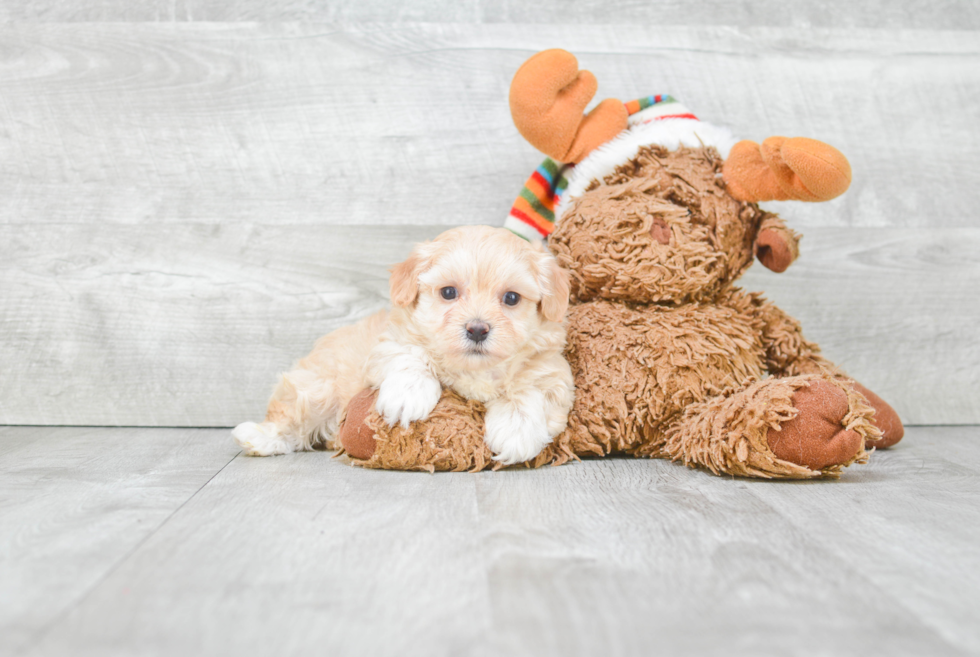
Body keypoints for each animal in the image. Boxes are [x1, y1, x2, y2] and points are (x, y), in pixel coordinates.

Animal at [234, 228, 576, 464]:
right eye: (448, 292)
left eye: (512, 298)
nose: (477, 329)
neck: (474, 370)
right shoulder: (388, 343)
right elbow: (409, 355)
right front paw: (408, 396)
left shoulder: (553, 372)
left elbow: (529, 390)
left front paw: (515, 430)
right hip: (318, 387)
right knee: (290, 415)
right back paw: (257, 437)